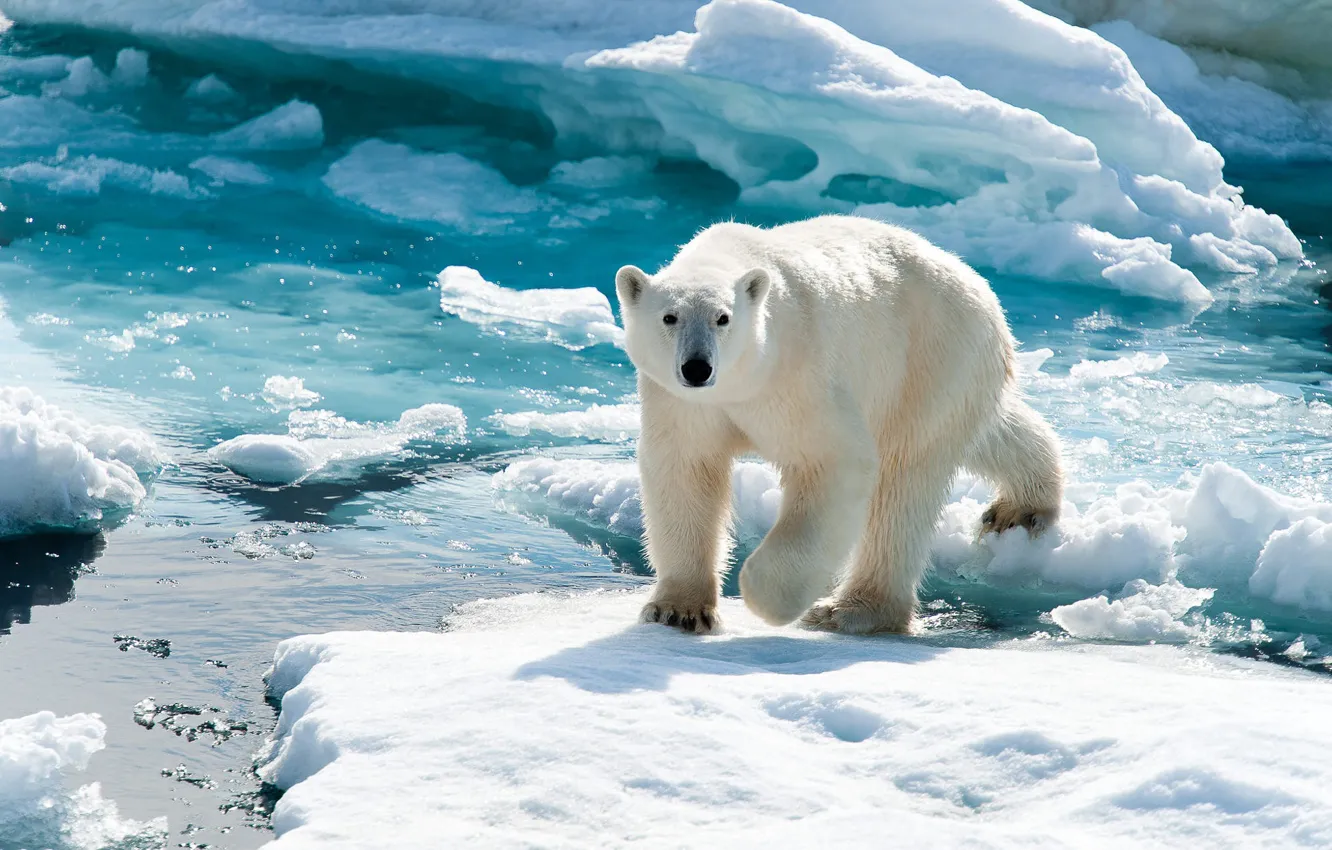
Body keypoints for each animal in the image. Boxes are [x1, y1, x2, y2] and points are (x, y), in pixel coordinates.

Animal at [615, 214, 1063, 635]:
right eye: (669, 317)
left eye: (722, 318)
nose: (697, 367)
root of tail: (976, 282)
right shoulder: (682, 403)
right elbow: (685, 470)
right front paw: (678, 610)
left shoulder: (796, 376)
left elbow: (833, 461)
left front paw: (766, 597)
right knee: (990, 431)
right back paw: (1019, 508)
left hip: (929, 357)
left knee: (904, 482)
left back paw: (848, 610)